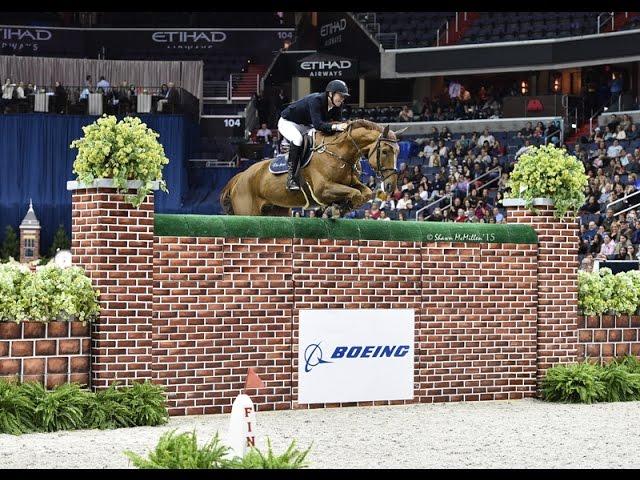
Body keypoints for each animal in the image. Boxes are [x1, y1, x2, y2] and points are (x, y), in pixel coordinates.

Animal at [220, 119, 404, 217]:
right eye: (385, 151)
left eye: (398, 151)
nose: (390, 186)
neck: (341, 153)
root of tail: (240, 177)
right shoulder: (322, 189)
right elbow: (356, 194)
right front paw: (335, 209)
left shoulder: (351, 183)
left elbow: (365, 193)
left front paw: (338, 208)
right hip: (248, 212)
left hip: (277, 210)